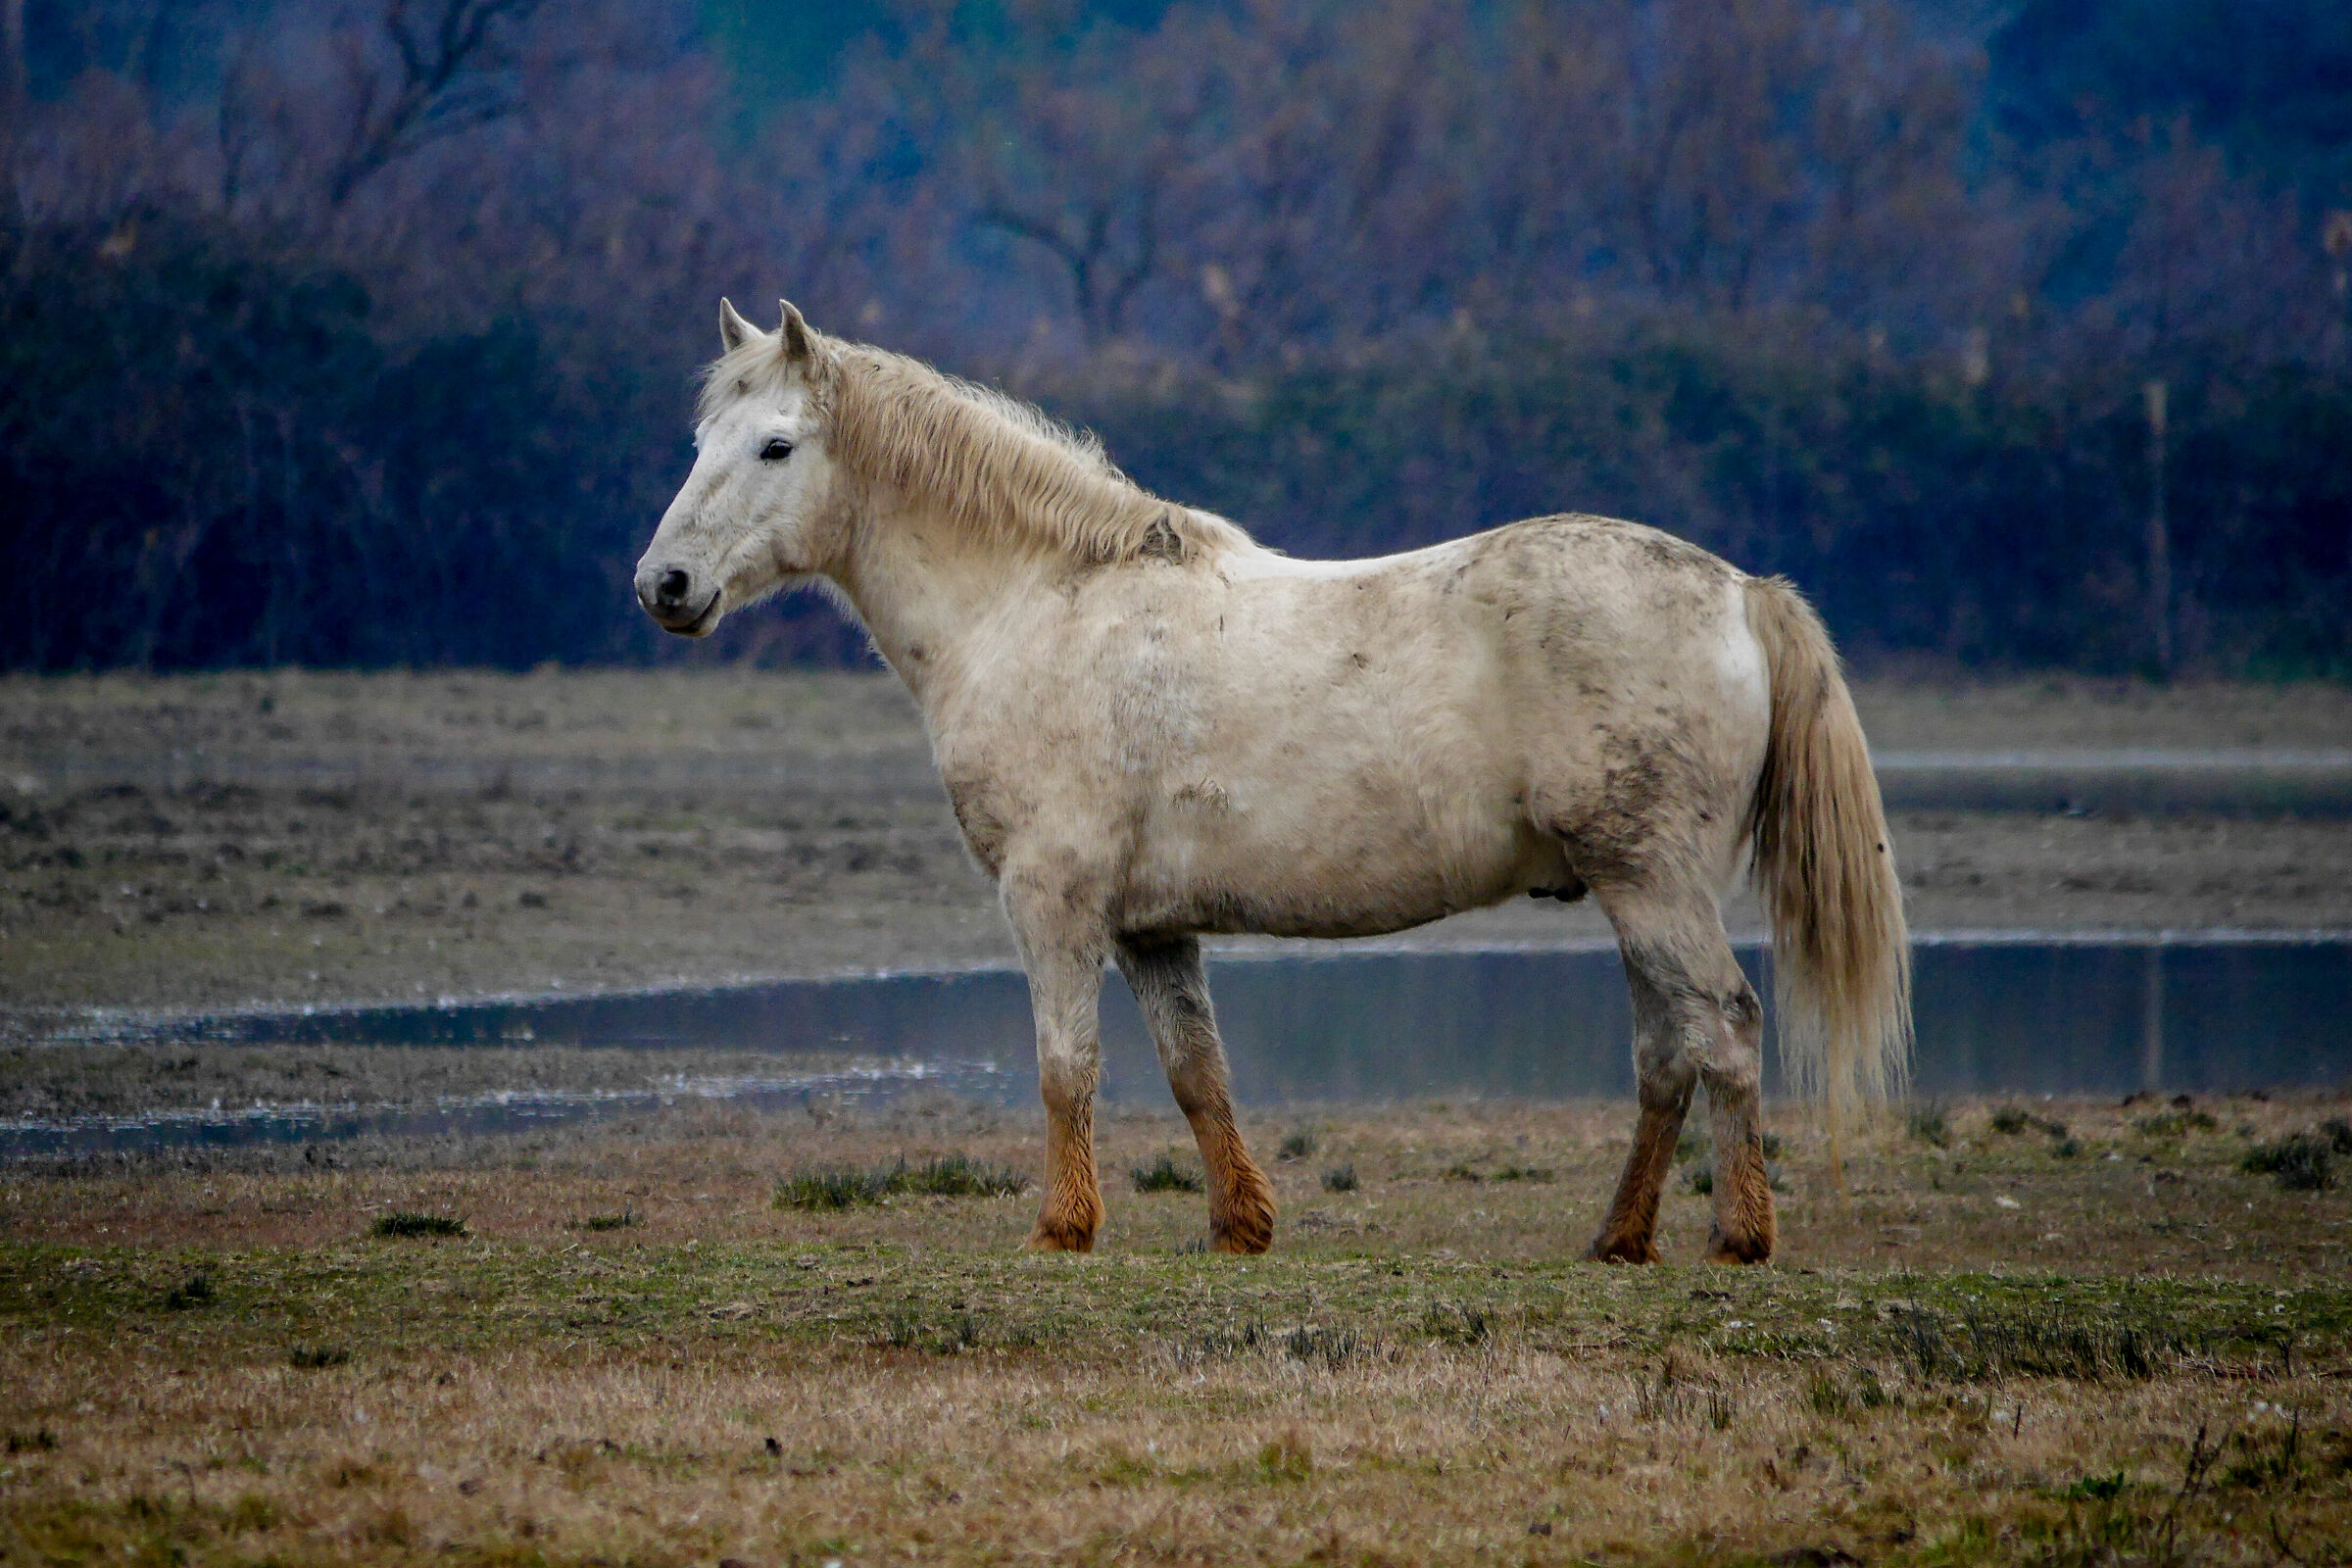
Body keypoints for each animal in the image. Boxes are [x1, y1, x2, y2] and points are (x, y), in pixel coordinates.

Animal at [635, 298, 1910, 1264]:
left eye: (775, 445)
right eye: (699, 441)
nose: (665, 585)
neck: (1038, 602)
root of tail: (1741, 591)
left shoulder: (1053, 902)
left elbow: (1065, 1070)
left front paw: (1063, 1229)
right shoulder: (1150, 928)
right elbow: (1197, 1073)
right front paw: (1241, 1224)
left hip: (1653, 883)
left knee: (1725, 1030)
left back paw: (1737, 1236)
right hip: (1633, 890)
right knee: (1666, 1056)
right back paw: (1618, 1238)